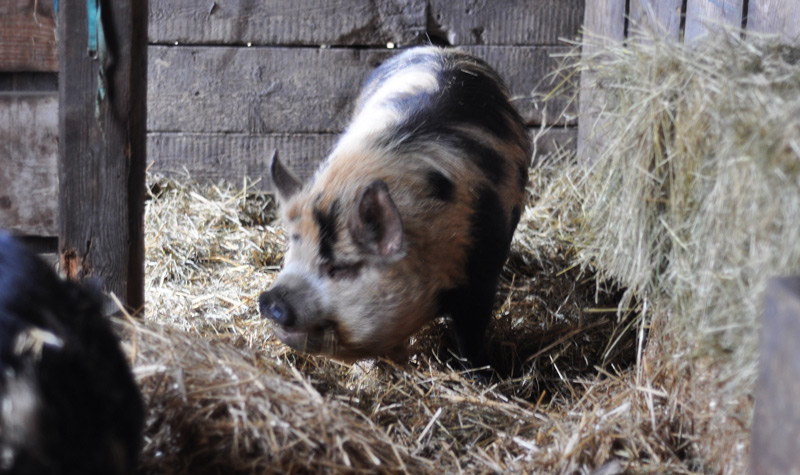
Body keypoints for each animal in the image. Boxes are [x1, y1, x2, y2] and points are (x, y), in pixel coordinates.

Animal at [259, 46, 531, 366]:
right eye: (291, 250)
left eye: (338, 268)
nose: (268, 299)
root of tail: (442, 49)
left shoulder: (481, 275)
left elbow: (471, 336)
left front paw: (475, 369)